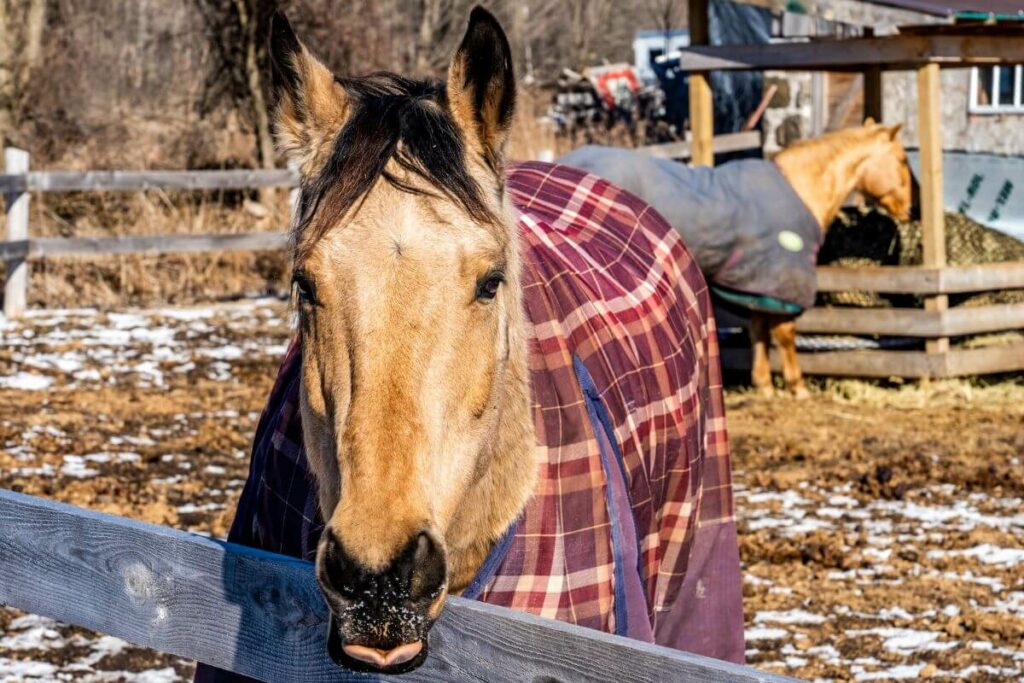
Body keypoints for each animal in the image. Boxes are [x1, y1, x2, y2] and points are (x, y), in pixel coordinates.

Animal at [561, 120, 913, 397]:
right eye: (901, 158)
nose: (908, 209)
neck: (801, 188)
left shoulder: (759, 284)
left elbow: (758, 329)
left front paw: (764, 385)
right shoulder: (783, 278)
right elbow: (784, 333)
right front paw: (797, 386)